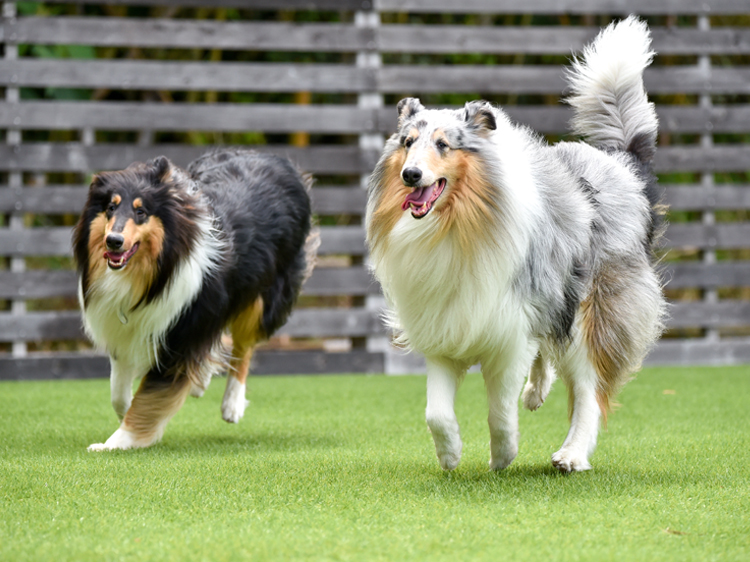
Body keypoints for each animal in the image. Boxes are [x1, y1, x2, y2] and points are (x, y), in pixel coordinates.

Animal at [76, 148, 320, 450]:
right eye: (111, 207)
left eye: (141, 211)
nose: (113, 241)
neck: (154, 274)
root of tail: (274, 157)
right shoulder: (126, 329)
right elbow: (118, 393)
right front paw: (126, 415)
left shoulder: (181, 336)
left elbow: (149, 398)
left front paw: (117, 442)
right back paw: (201, 381)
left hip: (265, 295)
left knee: (244, 345)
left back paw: (232, 404)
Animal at [368, 17, 668, 470]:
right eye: (407, 143)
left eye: (443, 144)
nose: (410, 175)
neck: (455, 226)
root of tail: (623, 166)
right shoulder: (443, 321)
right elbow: (436, 412)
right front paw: (450, 454)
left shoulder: (510, 330)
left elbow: (499, 408)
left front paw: (503, 454)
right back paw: (536, 393)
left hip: (590, 313)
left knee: (589, 390)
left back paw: (571, 454)